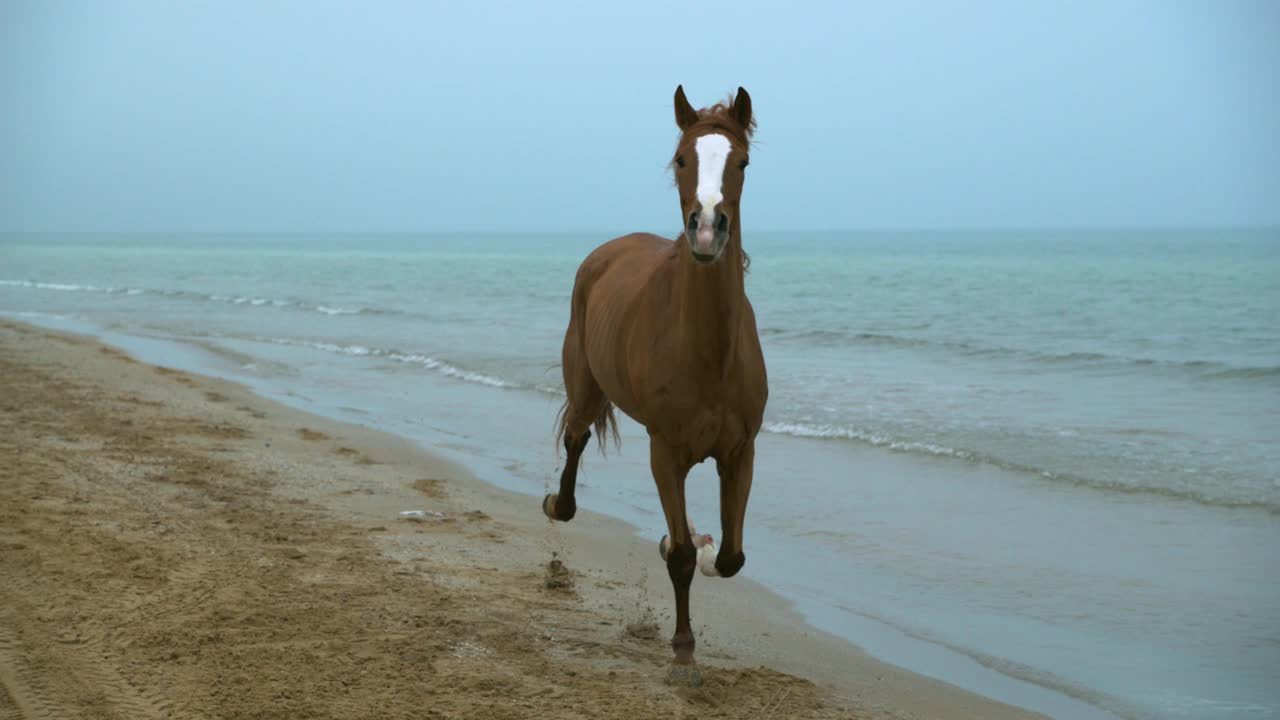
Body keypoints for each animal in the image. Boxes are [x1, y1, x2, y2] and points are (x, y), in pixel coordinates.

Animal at [542, 83, 762, 676]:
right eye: (682, 159)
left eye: (741, 162)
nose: (706, 230)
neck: (709, 353)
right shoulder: (666, 452)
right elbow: (681, 556)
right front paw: (683, 646)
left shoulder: (741, 452)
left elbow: (730, 556)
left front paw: (703, 545)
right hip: (584, 386)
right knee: (576, 439)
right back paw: (557, 505)